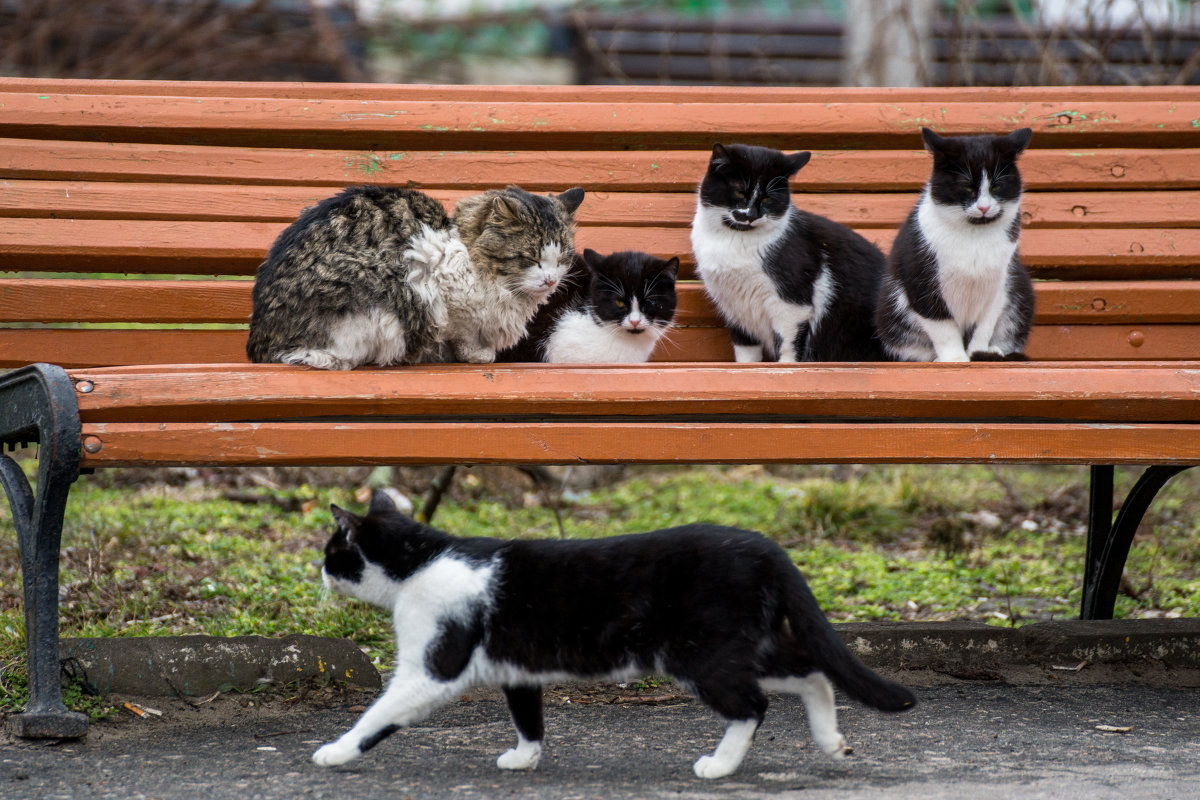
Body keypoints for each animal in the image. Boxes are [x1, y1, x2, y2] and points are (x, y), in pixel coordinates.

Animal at [246, 184, 583, 369]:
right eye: (530, 258)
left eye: (562, 258)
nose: (551, 280)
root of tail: (260, 339)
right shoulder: (442, 289)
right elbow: (463, 335)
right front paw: (477, 355)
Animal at [312, 491, 916, 777]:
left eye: (332, 550)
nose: (318, 571)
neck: (421, 562)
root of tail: (768, 548)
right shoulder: (517, 668)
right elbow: (528, 718)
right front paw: (524, 759)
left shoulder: (434, 666)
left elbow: (379, 713)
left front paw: (336, 751)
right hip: (742, 644)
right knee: (811, 671)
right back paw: (831, 740)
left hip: (700, 653)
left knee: (752, 705)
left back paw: (719, 765)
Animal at [691, 145, 888, 364]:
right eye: (740, 193)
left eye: (768, 198)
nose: (751, 216)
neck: (734, 238)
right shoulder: (734, 306)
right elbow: (745, 349)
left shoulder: (792, 301)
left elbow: (787, 343)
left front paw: (786, 366)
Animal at [878, 128, 1036, 362]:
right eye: (967, 186)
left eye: (997, 186)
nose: (983, 207)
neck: (974, 235)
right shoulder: (922, 281)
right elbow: (942, 326)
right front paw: (955, 359)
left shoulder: (999, 284)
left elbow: (984, 325)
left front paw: (978, 352)